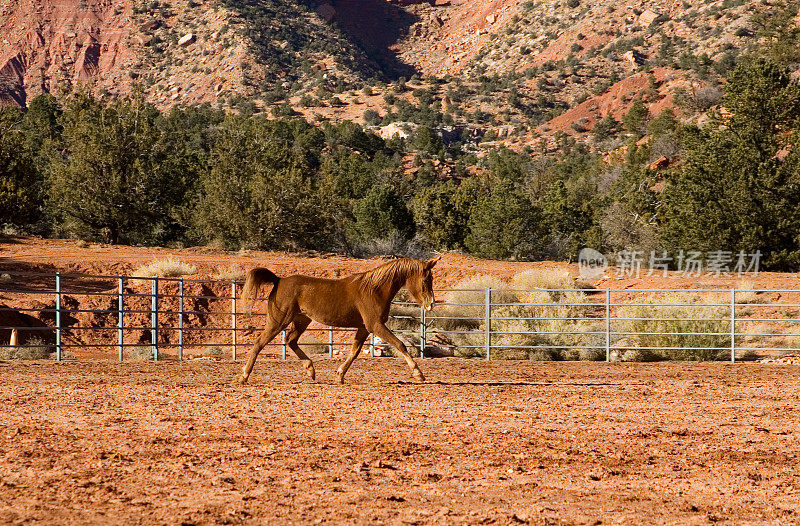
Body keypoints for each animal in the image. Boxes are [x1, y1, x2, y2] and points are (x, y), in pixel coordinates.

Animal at [239, 258, 438, 386]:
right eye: (425, 279)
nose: (431, 304)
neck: (375, 290)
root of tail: (279, 280)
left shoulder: (364, 328)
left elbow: (354, 352)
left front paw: (339, 376)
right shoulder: (375, 325)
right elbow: (400, 344)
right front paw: (418, 374)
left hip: (301, 320)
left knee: (291, 341)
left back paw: (311, 370)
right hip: (279, 320)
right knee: (259, 343)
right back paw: (244, 376)